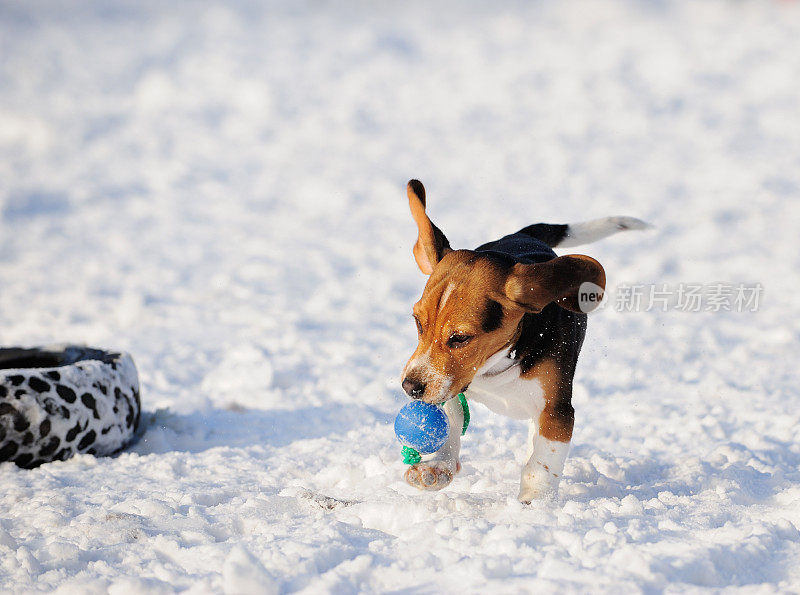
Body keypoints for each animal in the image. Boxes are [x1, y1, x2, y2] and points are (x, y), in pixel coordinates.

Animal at [404, 178, 648, 502]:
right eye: (418, 322)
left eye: (460, 338)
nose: (410, 387)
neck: (496, 366)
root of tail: (521, 236)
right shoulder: (452, 385)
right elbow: (451, 417)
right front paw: (437, 466)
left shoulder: (557, 410)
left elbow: (542, 462)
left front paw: (534, 503)